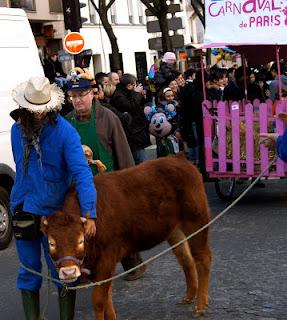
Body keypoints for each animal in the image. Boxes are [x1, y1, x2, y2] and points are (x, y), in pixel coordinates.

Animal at [41, 154, 213, 318]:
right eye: (51, 243)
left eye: (81, 240)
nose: (69, 272)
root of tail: (179, 159)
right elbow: (107, 299)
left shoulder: (107, 259)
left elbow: (99, 300)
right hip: (175, 231)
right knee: (186, 259)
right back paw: (189, 296)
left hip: (196, 221)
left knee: (202, 258)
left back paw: (200, 305)